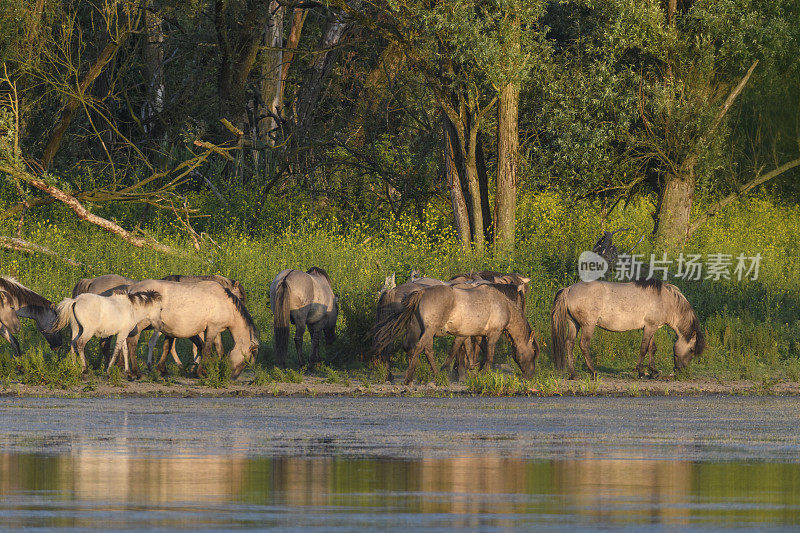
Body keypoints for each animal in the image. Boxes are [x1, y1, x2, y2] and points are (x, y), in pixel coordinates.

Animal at [126, 278, 260, 378]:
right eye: (245, 360)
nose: (233, 377)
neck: (226, 304)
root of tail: (131, 289)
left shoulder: (215, 330)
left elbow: (167, 347)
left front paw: (162, 370)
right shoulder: (213, 328)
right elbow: (206, 349)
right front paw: (202, 372)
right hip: (140, 325)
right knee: (132, 343)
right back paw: (136, 372)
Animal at [374, 284, 536, 384]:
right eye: (534, 352)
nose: (530, 375)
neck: (503, 305)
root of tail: (421, 292)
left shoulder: (475, 334)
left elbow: (471, 351)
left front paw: (474, 370)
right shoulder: (493, 334)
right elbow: (488, 356)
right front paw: (483, 374)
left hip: (418, 329)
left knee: (422, 349)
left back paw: (433, 375)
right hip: (429, 330)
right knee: (421, 348)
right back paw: (412, 377)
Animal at [552, 278, 708, 378]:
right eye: (692, 349)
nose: (683, 372)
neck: (665, 299)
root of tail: (568, 289)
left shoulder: (651, 327)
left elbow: (652, 348)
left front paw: (653, 371)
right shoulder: (650, 327)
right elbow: (644, 348)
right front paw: (641, 371)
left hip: (574, 324)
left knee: (569, 344)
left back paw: (573, 374)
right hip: (587, 326)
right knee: (584, 345)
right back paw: (593, 372)